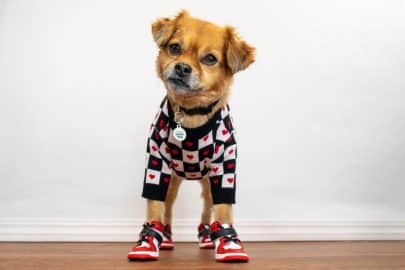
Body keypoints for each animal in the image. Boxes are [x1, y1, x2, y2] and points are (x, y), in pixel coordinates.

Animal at [128, 10, 254, 262]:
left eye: (210, 59)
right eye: (175, 48)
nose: (182, 68)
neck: (190, 115)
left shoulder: (224, 170)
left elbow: (224, 208)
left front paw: (228, 243)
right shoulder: (157, 165)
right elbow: (155, 204)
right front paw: (148, 241)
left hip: (207, 184)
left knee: (207, 209)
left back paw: (206, 237)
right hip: (172, 180)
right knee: (167, 207)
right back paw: (165, 237)